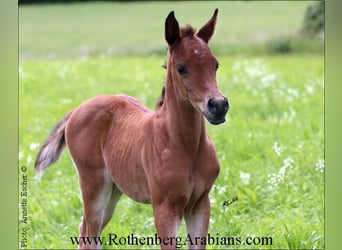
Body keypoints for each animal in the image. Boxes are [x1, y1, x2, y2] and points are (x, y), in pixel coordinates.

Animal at [34, 8, 228, 249]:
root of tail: (77, 109)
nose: (218, 106)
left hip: (114, 190)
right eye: (181, 68)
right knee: (89, 232)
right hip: (94, 184)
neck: (185, 146)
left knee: (86, 230)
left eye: (215, 65)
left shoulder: (200, 205)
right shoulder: (164, 207)